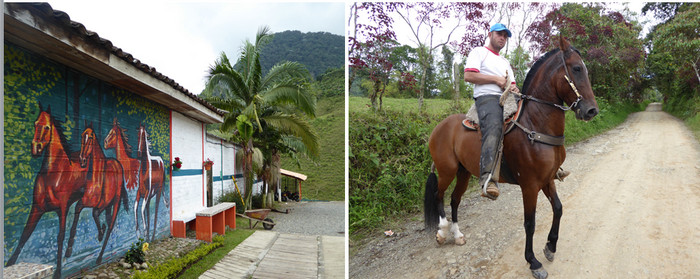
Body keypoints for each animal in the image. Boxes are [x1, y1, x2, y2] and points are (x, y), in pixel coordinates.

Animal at [5, 105, 89, 279]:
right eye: (35, 123)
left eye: (47, 127)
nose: (35, 148)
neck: (53, 174)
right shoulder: (36, 208)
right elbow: (25, 235)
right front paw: (10, 264)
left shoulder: (62, 208)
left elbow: (60, 236)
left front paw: (58, 272)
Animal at [77, 123, 129, 266]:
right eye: (82, 136)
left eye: (90, 137)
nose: (82, 160)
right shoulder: (87, 201)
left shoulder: (103, 203)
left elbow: (95, 213)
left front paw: (101, 233)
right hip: (109, 205)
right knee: (108, 221)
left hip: (115, 201)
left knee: (111, 225)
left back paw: (100, 257)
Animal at [424, 37, 600, 279]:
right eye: (576, 68)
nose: (591, 110)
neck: (536, 125)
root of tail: (439, 127)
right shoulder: (530, 185)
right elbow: (530, 223)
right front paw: (533, 262)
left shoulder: (547, 179)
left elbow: (558, 208)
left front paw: (550, 246)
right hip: (447, 170)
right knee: (438, 195)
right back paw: (442, 232)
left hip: (463, 172)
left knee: (454, 200)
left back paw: (457, 235)